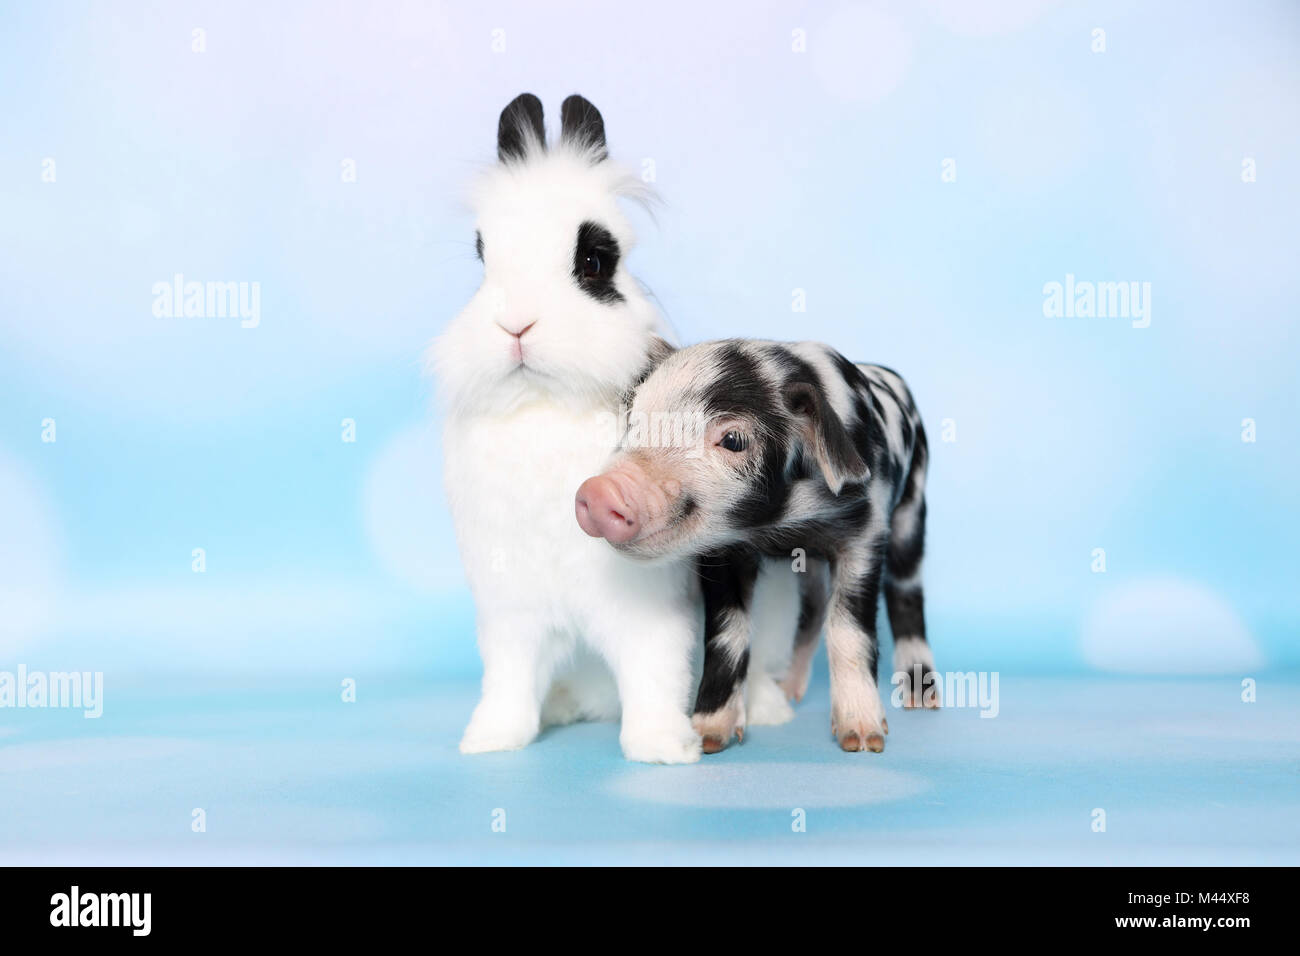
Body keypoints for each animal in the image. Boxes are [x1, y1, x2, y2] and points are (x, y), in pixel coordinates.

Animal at [428, 93, 707, 764]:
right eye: (483, 256)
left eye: (593, 261)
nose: (516, 325)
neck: (545, 406)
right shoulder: (509, 613)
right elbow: (507, 679)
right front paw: (490, 740)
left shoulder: (651, 608)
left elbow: (655, 671)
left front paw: (663, 748)